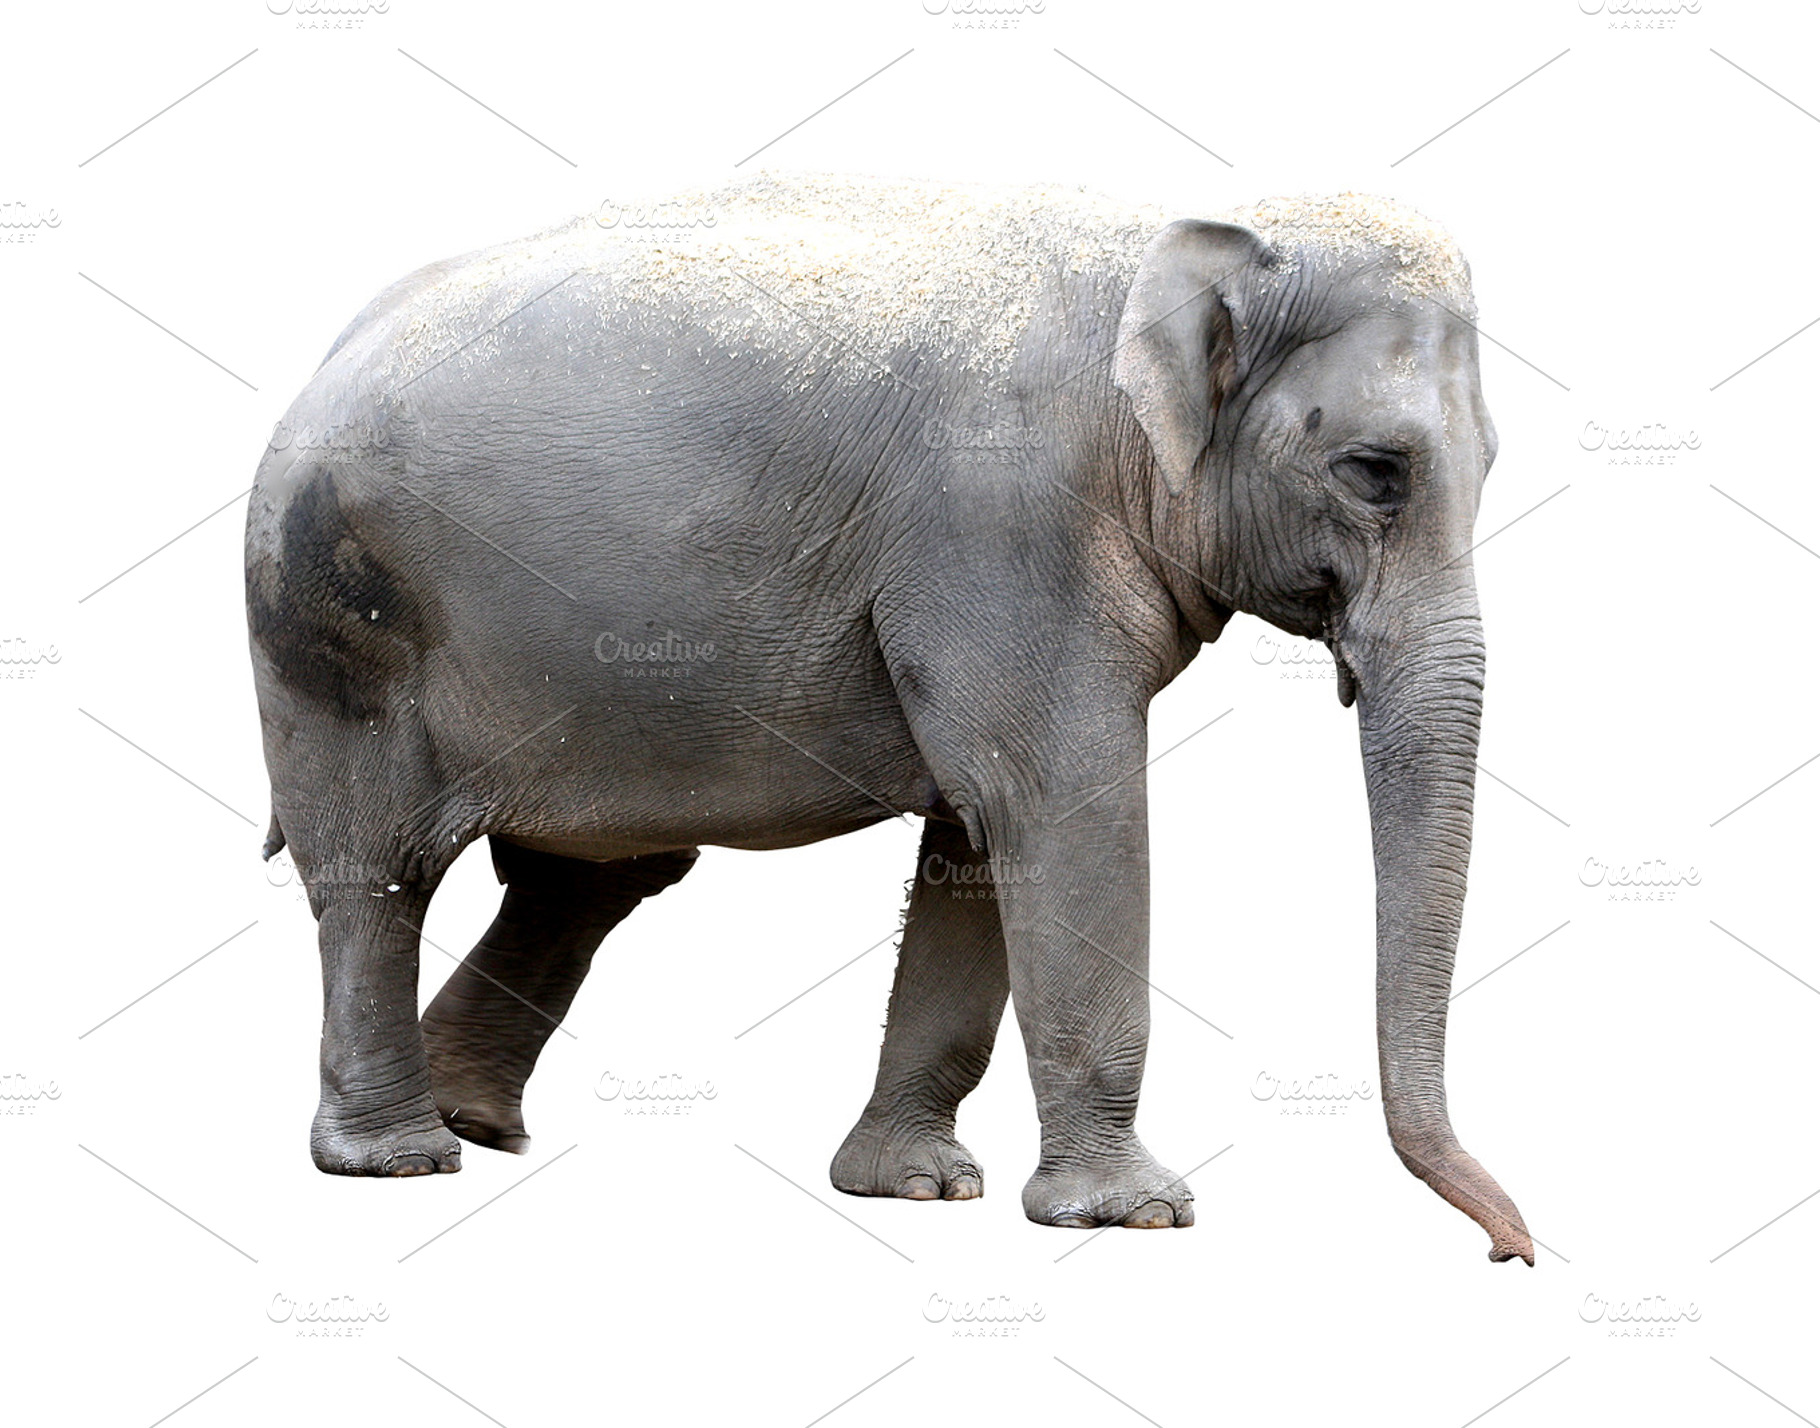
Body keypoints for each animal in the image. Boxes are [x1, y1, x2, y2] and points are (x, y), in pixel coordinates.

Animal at [244, 172, 1530, 1261]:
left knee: (592, 879)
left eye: (1488, 465)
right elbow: (1058, 806)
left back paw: (474, 1120)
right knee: (380, 871)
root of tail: (322, 358)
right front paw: (1135, 1219)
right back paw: (399, 1158)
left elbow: (973, 838)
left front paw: (911, 1188)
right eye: (1373, 472)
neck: (1167, 236)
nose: (1507, 1251)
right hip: (333, 623)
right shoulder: (1006, 533)